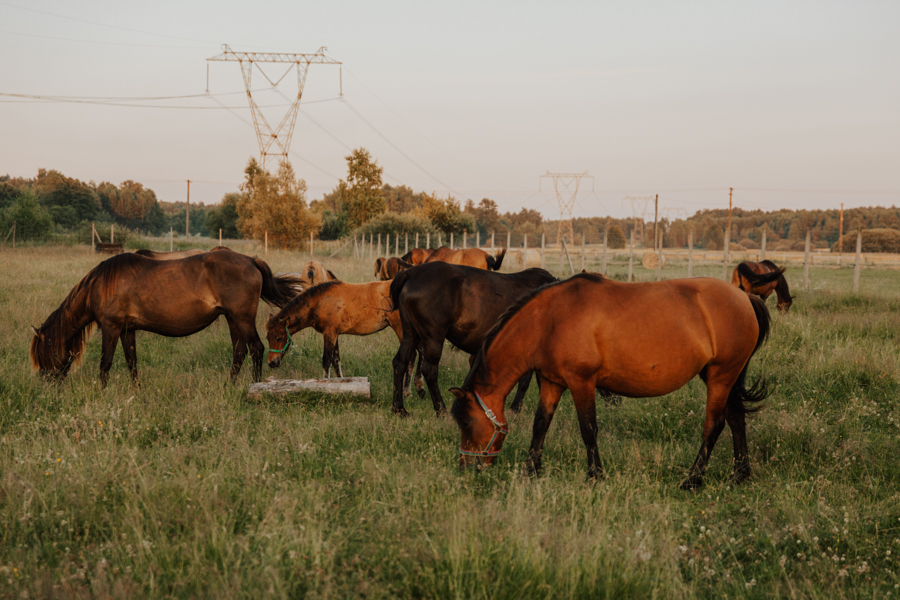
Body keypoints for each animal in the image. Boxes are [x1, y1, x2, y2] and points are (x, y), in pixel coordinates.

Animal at [31, 248, 300, 384]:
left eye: (44, 352)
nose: (47, 384)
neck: (101, 285)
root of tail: (251, 260)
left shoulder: (111, 327)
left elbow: (105, 364)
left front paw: (102, 393)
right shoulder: (127, 330)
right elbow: (132, 363)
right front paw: (136, 392)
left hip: (242, 318)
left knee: (256, 349)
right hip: (233, 319)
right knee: (240, 352)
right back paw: (229, 385)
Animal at [388, 262, 556, 418]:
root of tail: (410, 273)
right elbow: (527, 382)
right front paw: (517, 410)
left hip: (410, 334)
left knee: (400, 363)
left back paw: (399, 408)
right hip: (433, 337)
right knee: (429, 370)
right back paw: (441, 410)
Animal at [450, 274, 772, 490]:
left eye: (465, 422)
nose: (467, 467)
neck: (549, 320)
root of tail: (745, 297)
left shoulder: (581, 382)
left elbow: (588, 430)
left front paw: (595, 475)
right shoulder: (552, 382)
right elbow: (540, 424)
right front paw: (531, 469)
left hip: (721, 375)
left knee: (714, 425)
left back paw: (692, 480)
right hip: (723, 376)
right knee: (736, 419)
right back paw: (740, 474)